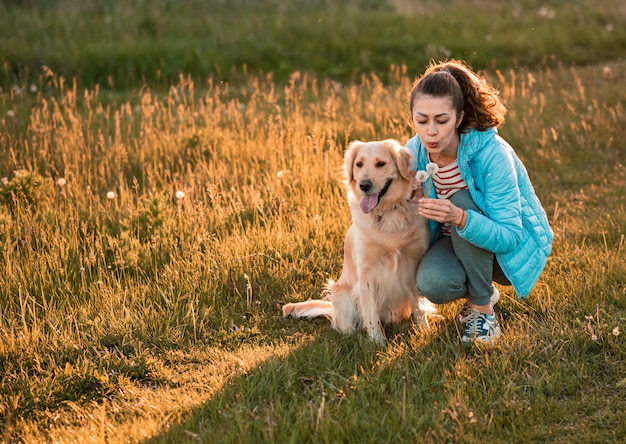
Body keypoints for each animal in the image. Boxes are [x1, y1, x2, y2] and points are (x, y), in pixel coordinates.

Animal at [282, 139, 434, 344]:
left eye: (381, 163)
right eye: (359, 164)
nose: (364, 185)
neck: (387, 214)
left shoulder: (414, 262)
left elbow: (419, 305)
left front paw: (424, 330)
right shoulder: (367, 273)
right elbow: (371, 313)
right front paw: (378, 342)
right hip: (343, 294)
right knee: (346, 326)